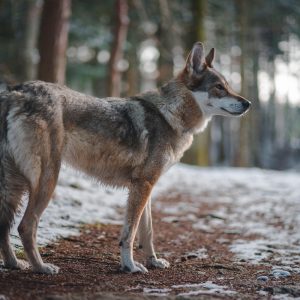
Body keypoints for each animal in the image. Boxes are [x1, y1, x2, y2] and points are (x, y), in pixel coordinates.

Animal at [0, 41, 250, 274]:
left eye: (228, 86)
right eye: (219, 87)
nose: (248, 103)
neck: (170, 115)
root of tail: (14, 91)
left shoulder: (145, 186)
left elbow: (147, 232)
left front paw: (153, 261)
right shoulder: (143, 185)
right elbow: (130, 233)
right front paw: (130, 266)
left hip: (16, 185)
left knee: (5, 226)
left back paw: (15, 264)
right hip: (47, 179)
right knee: (25, 226)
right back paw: (41, 267)